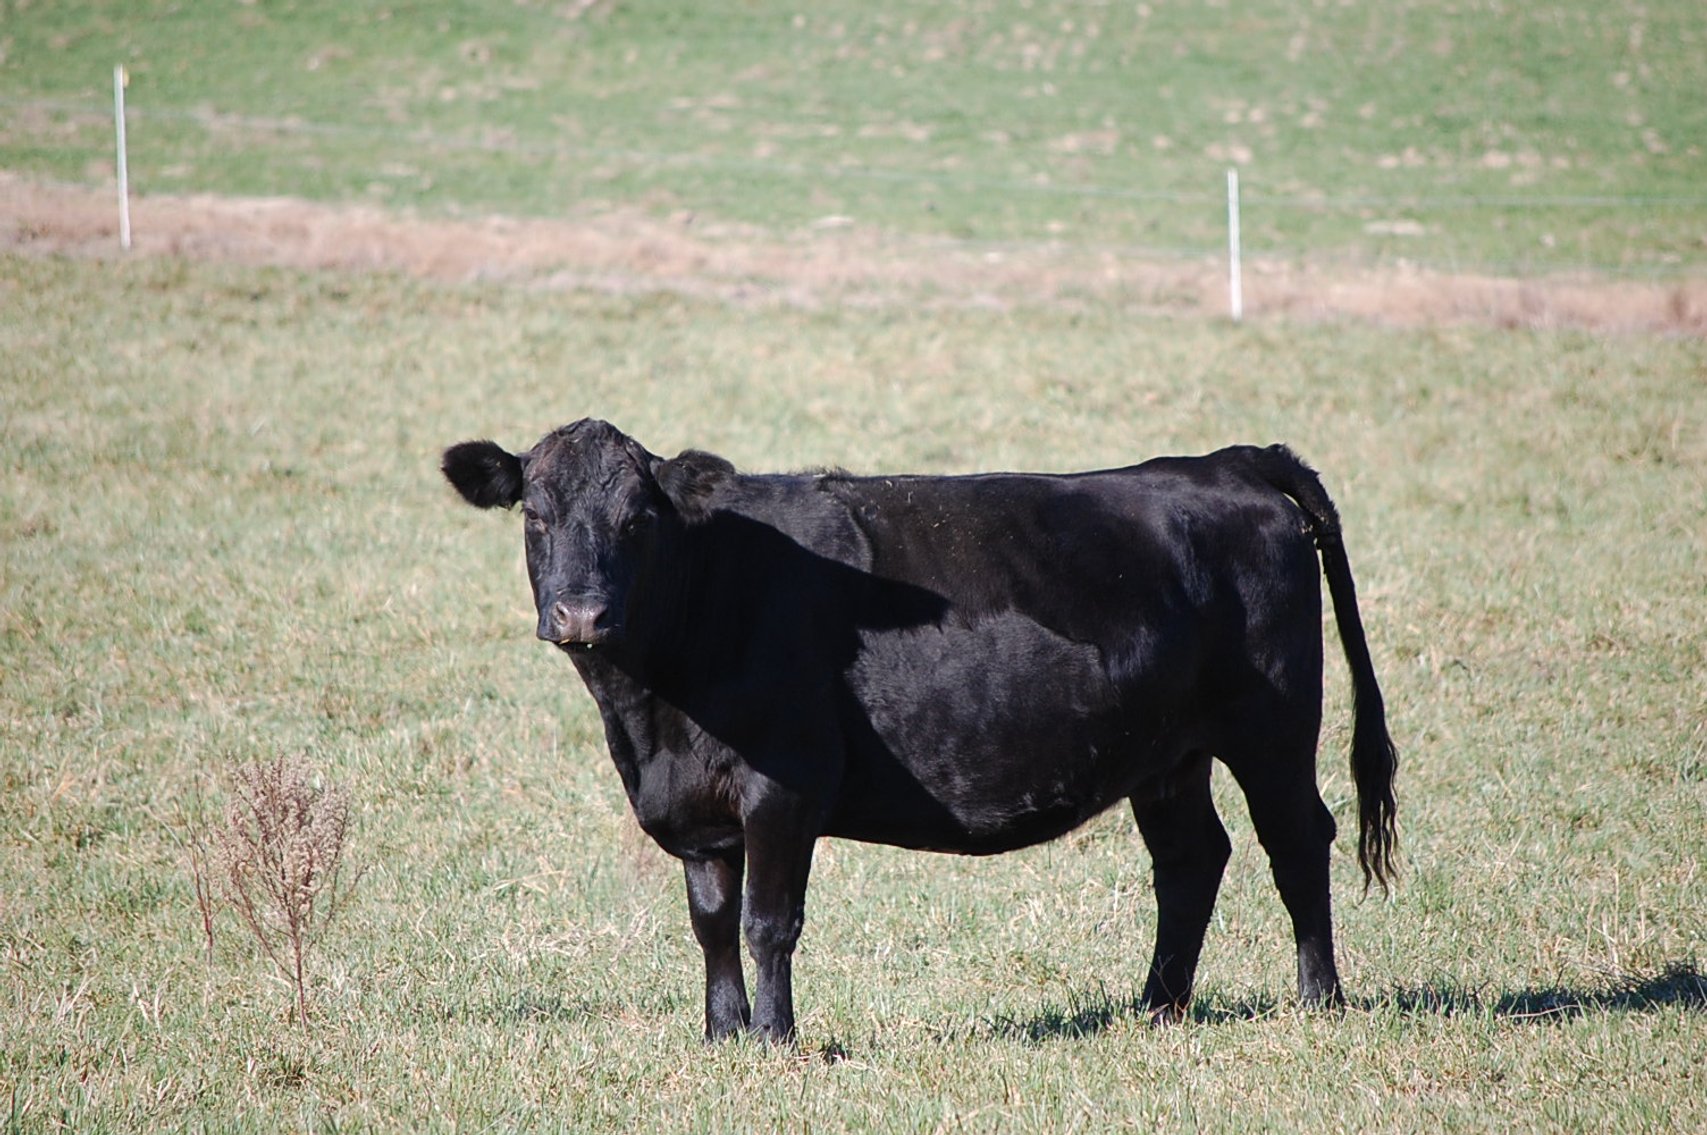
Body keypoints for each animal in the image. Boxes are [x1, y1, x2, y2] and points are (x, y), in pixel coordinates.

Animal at [442, 419, 1397, 1042]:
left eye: (636, 520)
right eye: (536, 515)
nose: (581, 613)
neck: (652, 715)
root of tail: (1224, 461)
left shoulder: (784, 783)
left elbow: (767, 921)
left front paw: (775, 1039)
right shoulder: (698, 809)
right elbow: (711, 922)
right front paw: (720, 1035)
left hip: (1271, 724)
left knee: (1295, 839)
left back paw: (1318, 999)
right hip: (1168, 751)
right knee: (1191, 858)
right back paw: (1155, 1006)